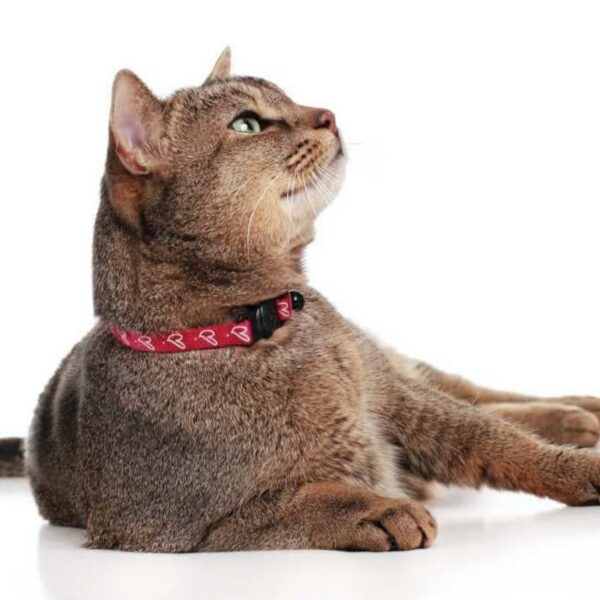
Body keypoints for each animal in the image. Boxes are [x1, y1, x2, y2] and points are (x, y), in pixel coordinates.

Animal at [1, 48, 599, 552]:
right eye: (246, 123)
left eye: (288, 99)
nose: (329, 115)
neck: (259, 327)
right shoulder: (169, 529)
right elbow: (298, 501)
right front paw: (379, 510)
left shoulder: (400, 400)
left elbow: (497, 440)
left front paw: (579, 468)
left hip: (389, 365)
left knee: (473, 393)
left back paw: (576, 413)